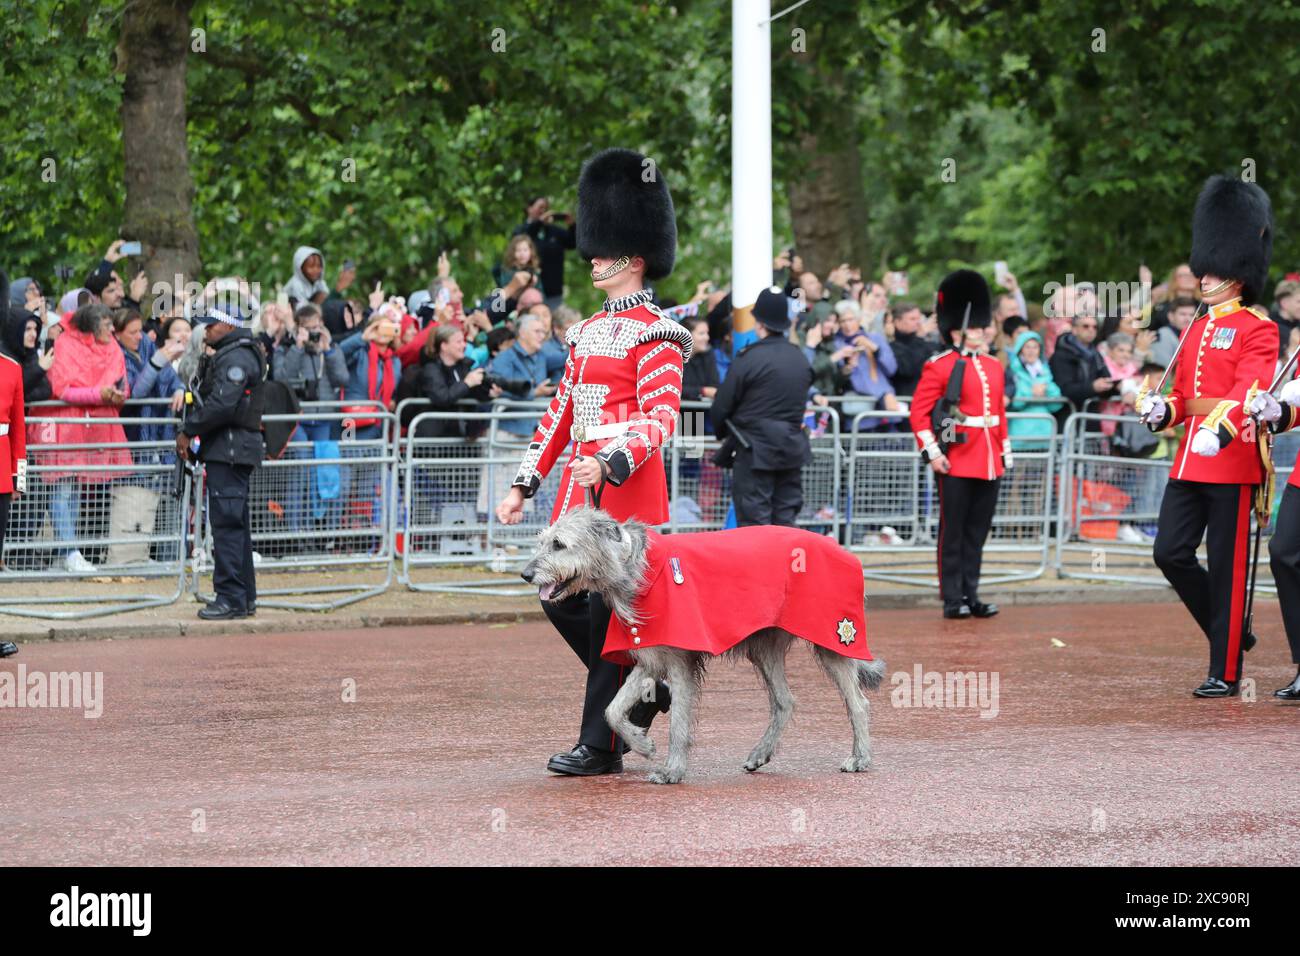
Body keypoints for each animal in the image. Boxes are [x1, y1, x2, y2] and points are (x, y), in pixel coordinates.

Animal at [517, 509, 883, 785]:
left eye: (559, 544)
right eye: (541, 541)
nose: (525, 574)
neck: (637, 569)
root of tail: (844, 550)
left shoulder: (681, 662)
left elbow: (678, 721)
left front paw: (671, 770)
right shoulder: (649, 657)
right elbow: (612, 710)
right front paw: (642, 744)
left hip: (834, 637)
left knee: (858, 702)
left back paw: (860, 757)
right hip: (764, 647)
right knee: (784, 701)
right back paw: (760, 753)